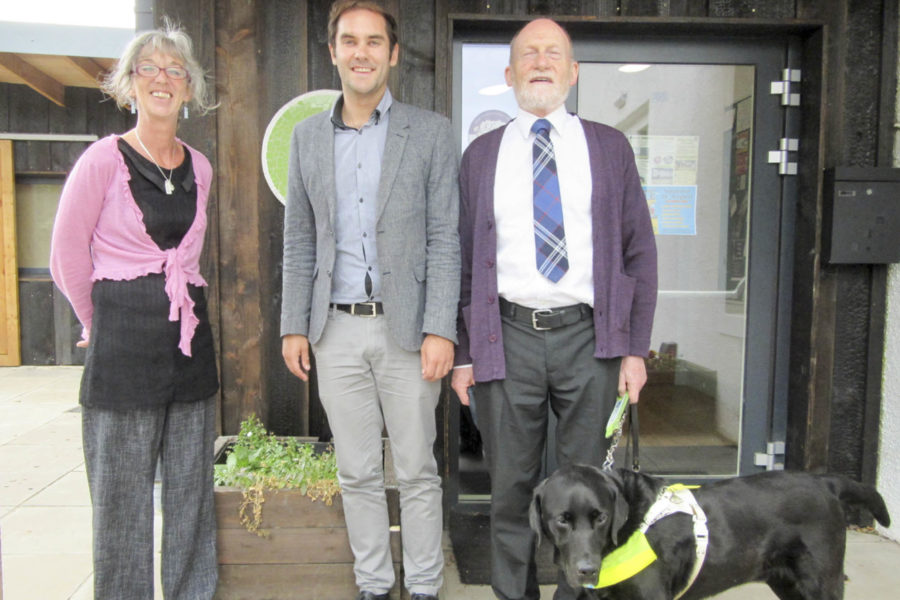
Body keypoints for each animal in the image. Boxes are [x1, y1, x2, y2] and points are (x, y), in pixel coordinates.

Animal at [532, 464, 888, 600]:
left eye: (601, 517)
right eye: (562, 520)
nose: (587, 569)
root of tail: (825, 482)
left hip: (821, 582)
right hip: (788, 583)